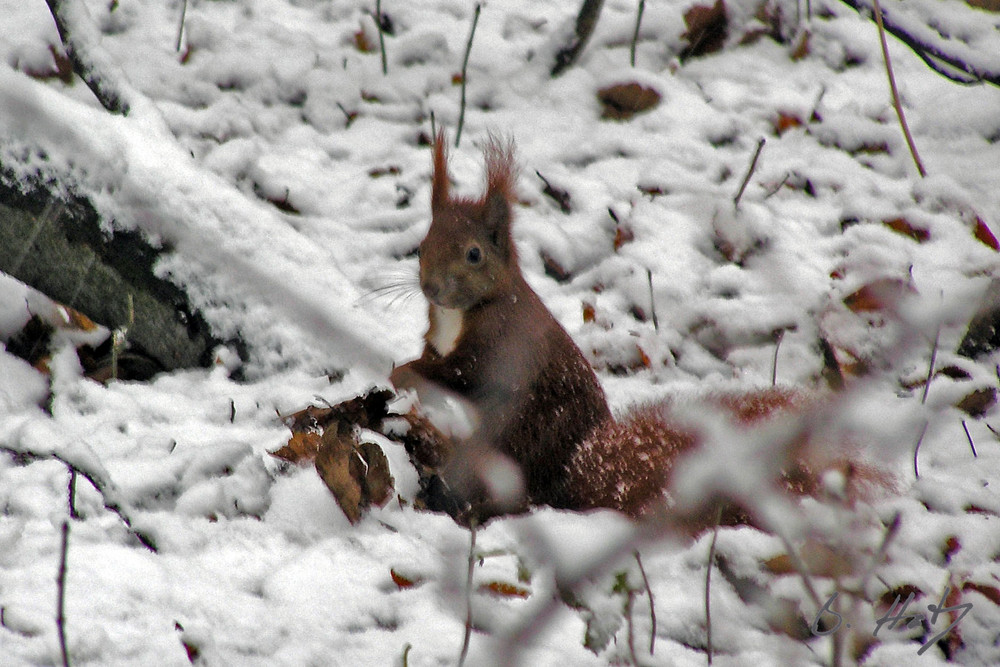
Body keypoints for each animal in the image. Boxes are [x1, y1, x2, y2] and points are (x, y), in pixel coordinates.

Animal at [390, 130, 884, 528]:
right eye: (422, 246)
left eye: (474, 254)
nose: (432, 287)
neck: (462, 312)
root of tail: (565, 486)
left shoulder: (500, 345)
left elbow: (461, 373)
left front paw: (401, 370)